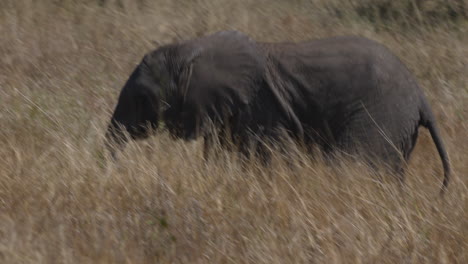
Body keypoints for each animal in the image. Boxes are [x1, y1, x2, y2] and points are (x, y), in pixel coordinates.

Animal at [105, 30, 450, 192]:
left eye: (141, 98)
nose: (115, 170)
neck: (190, 49)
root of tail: (420, 96)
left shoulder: (262, 108)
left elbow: (276, 158)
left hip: (382, 114)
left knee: (351, 164)